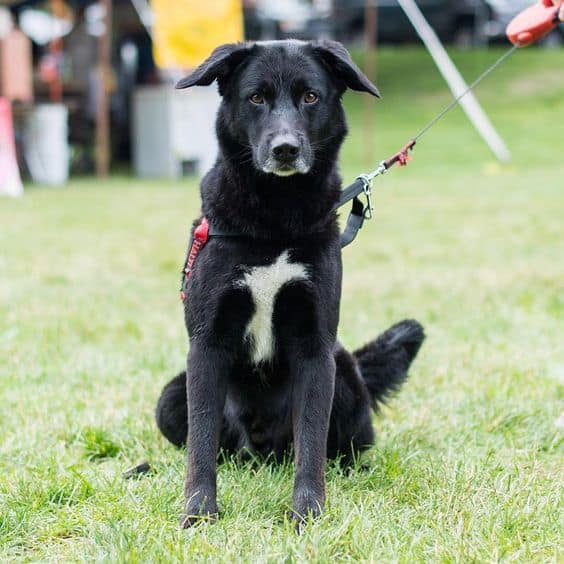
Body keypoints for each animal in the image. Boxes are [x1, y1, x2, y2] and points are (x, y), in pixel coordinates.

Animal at [154, 40, 424, 528]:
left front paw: (307, 513)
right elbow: (201, 442)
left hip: (345, 378)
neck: (274, 223)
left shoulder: (316, 348)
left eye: (311, 97)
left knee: (344, 447)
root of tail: (262, 451)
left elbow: (311, 442)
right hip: (169, 397)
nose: (285, 150)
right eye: (256, 98)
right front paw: (199, 513)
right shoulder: (206, 345)